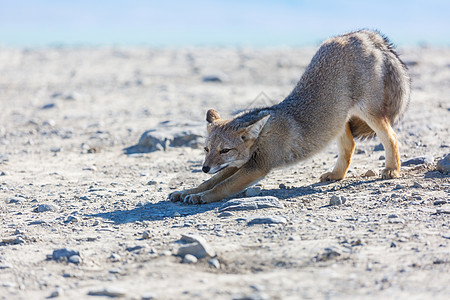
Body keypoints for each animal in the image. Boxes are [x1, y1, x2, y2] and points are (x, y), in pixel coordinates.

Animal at [169, 29, 412, 204]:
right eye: (206, 149)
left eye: (225, 150)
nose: (204, 168)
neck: (262, 136)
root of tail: (361, 33)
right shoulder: (241, 164)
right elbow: (211, 181)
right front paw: (187, 191)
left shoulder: (256, 167)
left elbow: (221, 186)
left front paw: (200, 197)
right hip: (338, 119)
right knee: (349, 146)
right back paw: (336, 175)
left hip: (369, 113)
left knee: (391, 137)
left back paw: (392, 169)